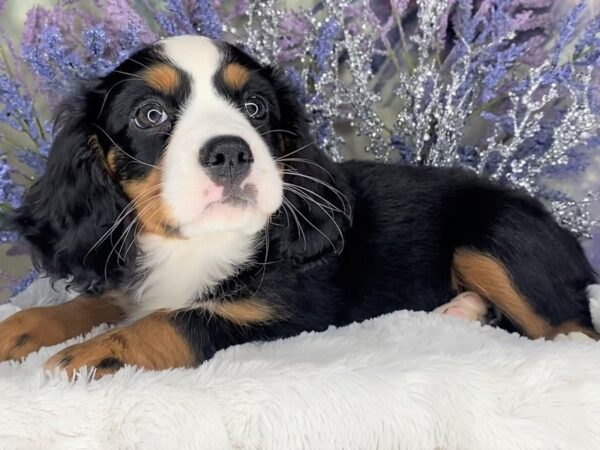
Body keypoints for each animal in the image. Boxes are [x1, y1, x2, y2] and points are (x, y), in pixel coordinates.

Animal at [2, 37, 596, 378]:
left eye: (255, 107)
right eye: (150, 115)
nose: (230, 152)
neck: (197, 245)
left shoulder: (288, 313)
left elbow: (179, 320)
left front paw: (94, 353)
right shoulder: (128, 277)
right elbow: (92, 304)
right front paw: (18, 330)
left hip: (495, 235)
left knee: (571, 329)